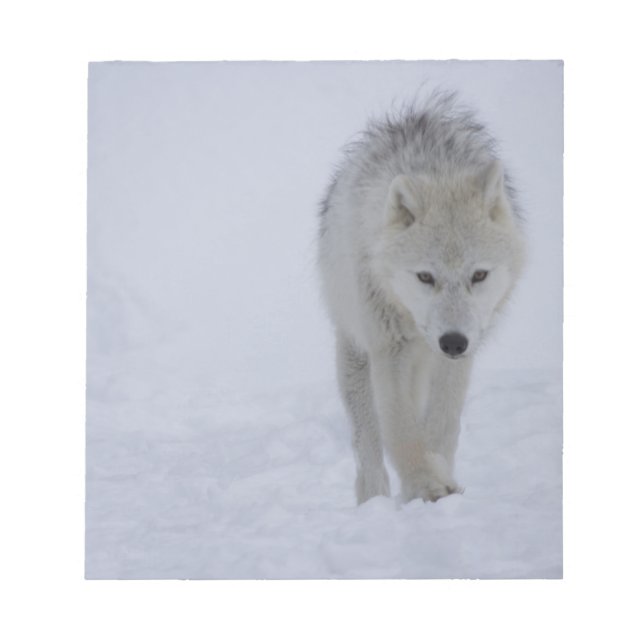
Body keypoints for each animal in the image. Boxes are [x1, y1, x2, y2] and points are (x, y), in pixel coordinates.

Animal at [318, 92, 525, 504]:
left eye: (479, 275)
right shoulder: (390, 348)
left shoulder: (459, 356)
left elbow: (442, 423)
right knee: (368, 448)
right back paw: (375, 500)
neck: (439, 173)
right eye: (425, 277)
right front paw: (426, 485)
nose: (452, 341)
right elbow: (401, 427)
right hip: (356, 357)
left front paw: (439, 476)